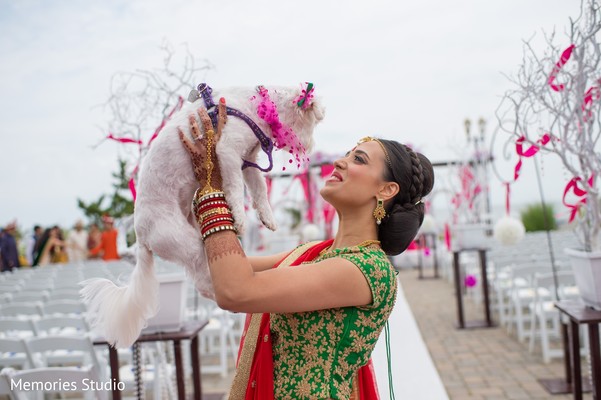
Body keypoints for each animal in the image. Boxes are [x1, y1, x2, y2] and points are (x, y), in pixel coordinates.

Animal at [81, 82, 324, 346]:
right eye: (312, 123)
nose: (309, 148)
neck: (256, 106)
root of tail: (142, 237)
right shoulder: (228, 152)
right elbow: (235, 188)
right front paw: (240, 218)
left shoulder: (248, 160)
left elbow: (259, 189)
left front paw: (267, 218)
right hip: (186, 243)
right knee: (200, 283)